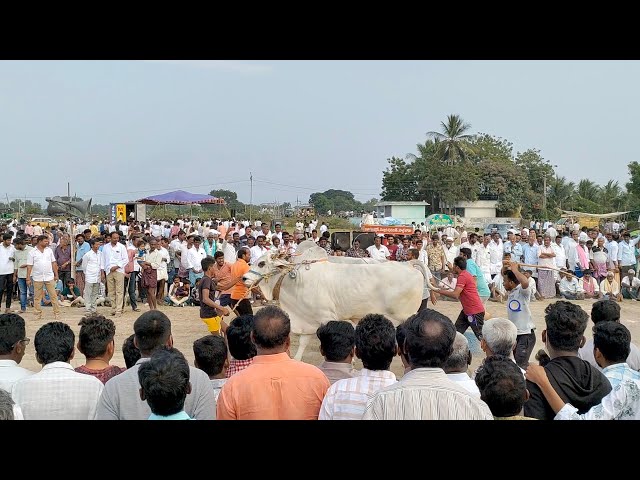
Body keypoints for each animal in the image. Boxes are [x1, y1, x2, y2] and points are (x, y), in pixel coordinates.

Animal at [242, 251, 422, 360]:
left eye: (261, 263)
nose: (244, 278)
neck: (295, 281)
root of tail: (408, 264)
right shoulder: (309, 320)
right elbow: (303, 344)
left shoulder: (327, 317)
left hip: (405, 316)